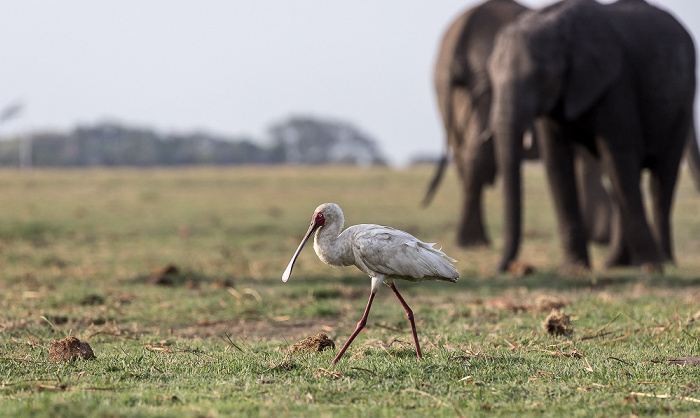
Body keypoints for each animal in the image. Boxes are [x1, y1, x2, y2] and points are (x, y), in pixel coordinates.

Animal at [422, 0, 612, 248]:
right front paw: (599, 238)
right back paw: (473, 242)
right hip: (483, 80)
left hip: (448, 89)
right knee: (476, 154)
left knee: (464, 154)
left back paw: (473, 241)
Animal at [486, 0, 696, 272]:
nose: (504, 268)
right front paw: (574, 269)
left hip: (682, 106)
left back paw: (664, 261)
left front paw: (651, 266)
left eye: (541, 76)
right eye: (490, 75)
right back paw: (615, 264)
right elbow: (557, 164)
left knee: (660, 179)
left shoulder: (616, 81)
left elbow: (620, 155)